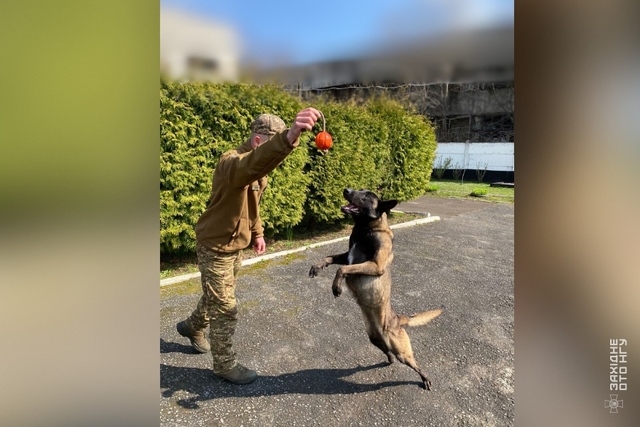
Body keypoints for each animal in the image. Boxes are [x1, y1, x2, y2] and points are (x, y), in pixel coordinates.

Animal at [309, 188, 442, 390]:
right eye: (358, 190)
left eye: (366, 196)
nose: (346, 189)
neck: (365, 230)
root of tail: (397, 318)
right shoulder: (348, 255)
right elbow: (330, 258)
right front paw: (317, 266)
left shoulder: (375, 265)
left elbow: (343, 269)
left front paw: (336, 286)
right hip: (374, 338)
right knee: (389, 352)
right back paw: (390, 360)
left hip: (402, 350)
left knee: (413, 362)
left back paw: (425, 378)